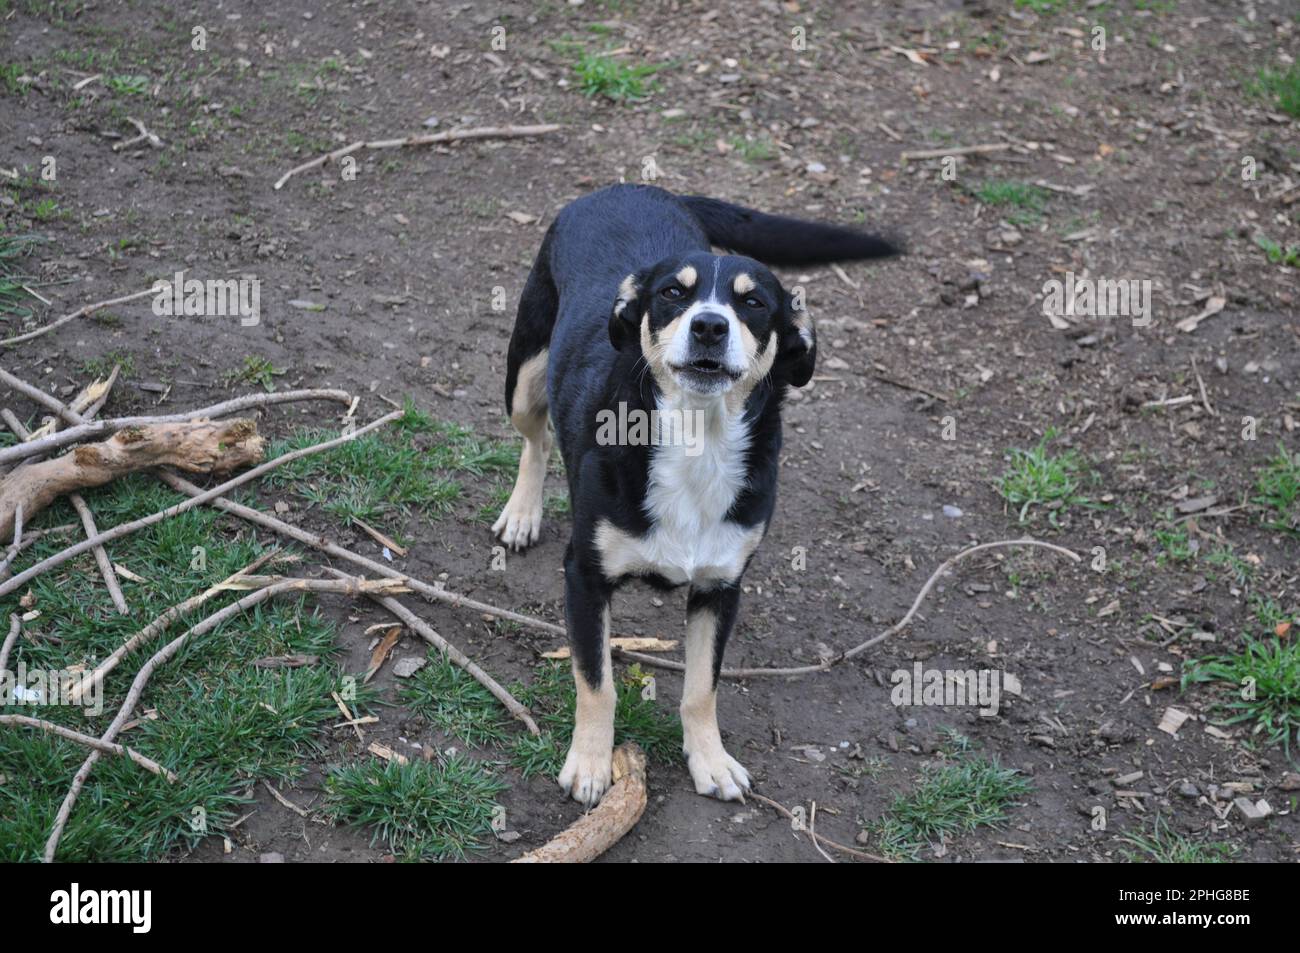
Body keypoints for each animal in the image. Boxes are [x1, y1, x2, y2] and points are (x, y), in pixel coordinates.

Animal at [491, 184, 899, 800]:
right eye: (672, 294)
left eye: (754, 303)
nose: (709, 325)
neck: (697, 441)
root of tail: (632, 186)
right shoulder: (584, 577)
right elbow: (597, 682)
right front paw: (590, 763)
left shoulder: (720, 587)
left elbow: (703, 686)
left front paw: (710, 759)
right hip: (525, 371)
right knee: (535, 437)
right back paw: (522, 512)